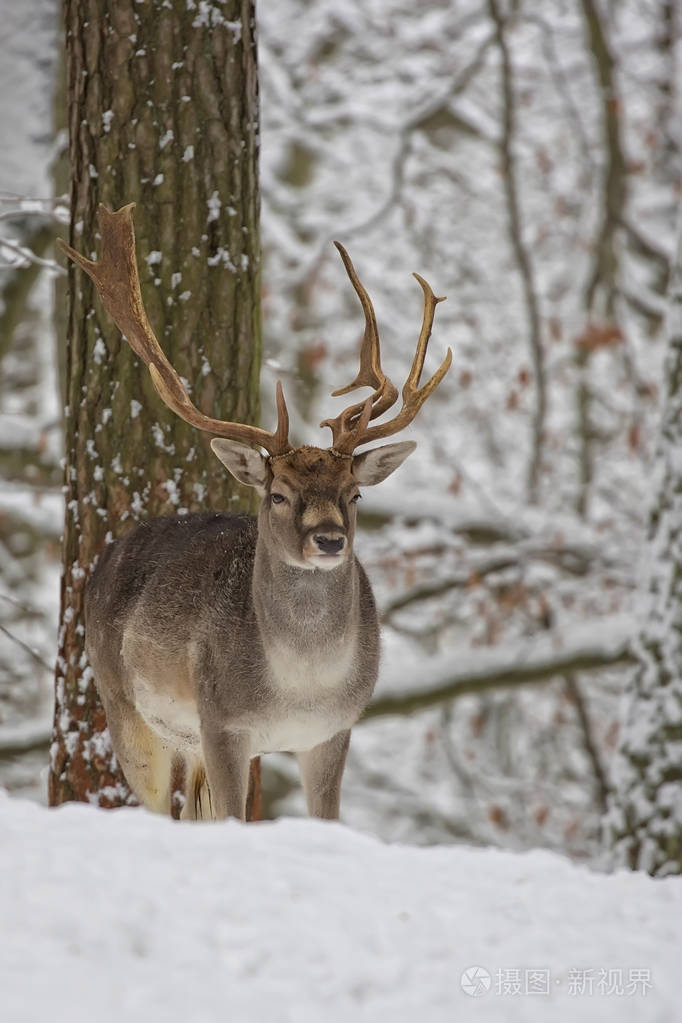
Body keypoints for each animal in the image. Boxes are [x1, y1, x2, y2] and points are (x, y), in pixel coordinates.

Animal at [59, 204, 451, 822]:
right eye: (278, 493)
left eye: (354, 494)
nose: (329, 540)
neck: (302, 687)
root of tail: (105, 556)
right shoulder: (222, 720)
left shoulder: (334, 730)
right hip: (125, 705)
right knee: (154, 803)